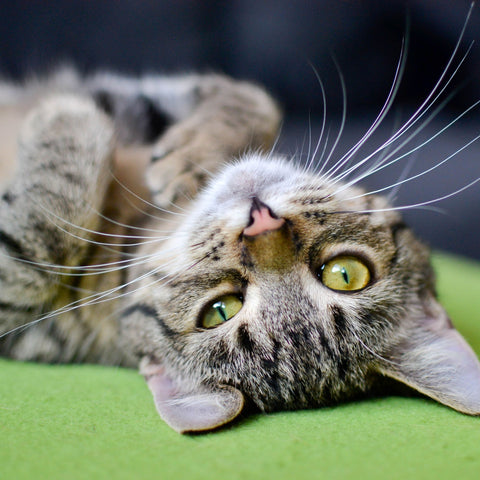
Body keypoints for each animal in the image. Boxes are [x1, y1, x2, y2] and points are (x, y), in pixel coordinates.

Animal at [0, 51, 478, 432]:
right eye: (346, 274)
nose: (260, 221)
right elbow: (255, 97)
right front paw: (192, 156)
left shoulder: (20, 316)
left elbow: (37, 249)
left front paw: (66, 117)